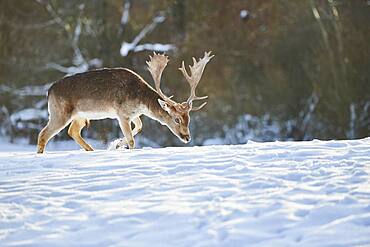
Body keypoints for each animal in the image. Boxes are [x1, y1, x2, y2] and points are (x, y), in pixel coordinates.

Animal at [36, 51, 214, 153]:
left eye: (188, 119)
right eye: (176, 119)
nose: (187, 137)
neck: (140, 99)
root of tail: (49, 91)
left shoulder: (133, 114)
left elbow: (140, 127)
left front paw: (116, 144)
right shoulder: (121, 114)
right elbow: (132, 140)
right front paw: (124, 148)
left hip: (80, 116)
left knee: (72, 131)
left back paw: (92, 150)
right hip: (60, 112)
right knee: (43, 134)